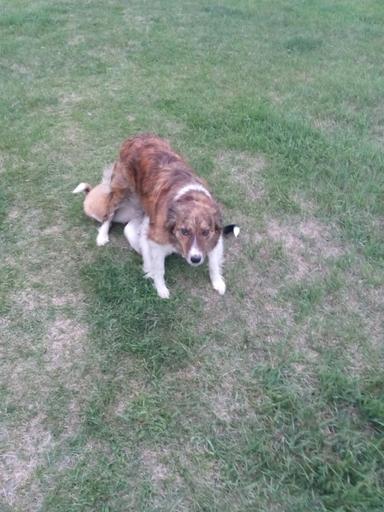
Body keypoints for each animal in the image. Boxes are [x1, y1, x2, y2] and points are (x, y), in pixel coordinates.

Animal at [99, 134, 230, 298]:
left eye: (205, 232)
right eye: (184, 231)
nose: (195, 259)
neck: (189, 197)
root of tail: (135, 137)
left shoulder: (215, 235)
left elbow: (213, 263)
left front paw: (217, 282)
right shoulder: (156, 239)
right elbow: (159, 269)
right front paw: (161, 288)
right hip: (121, 190)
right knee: (109, 212)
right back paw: (102, 236)